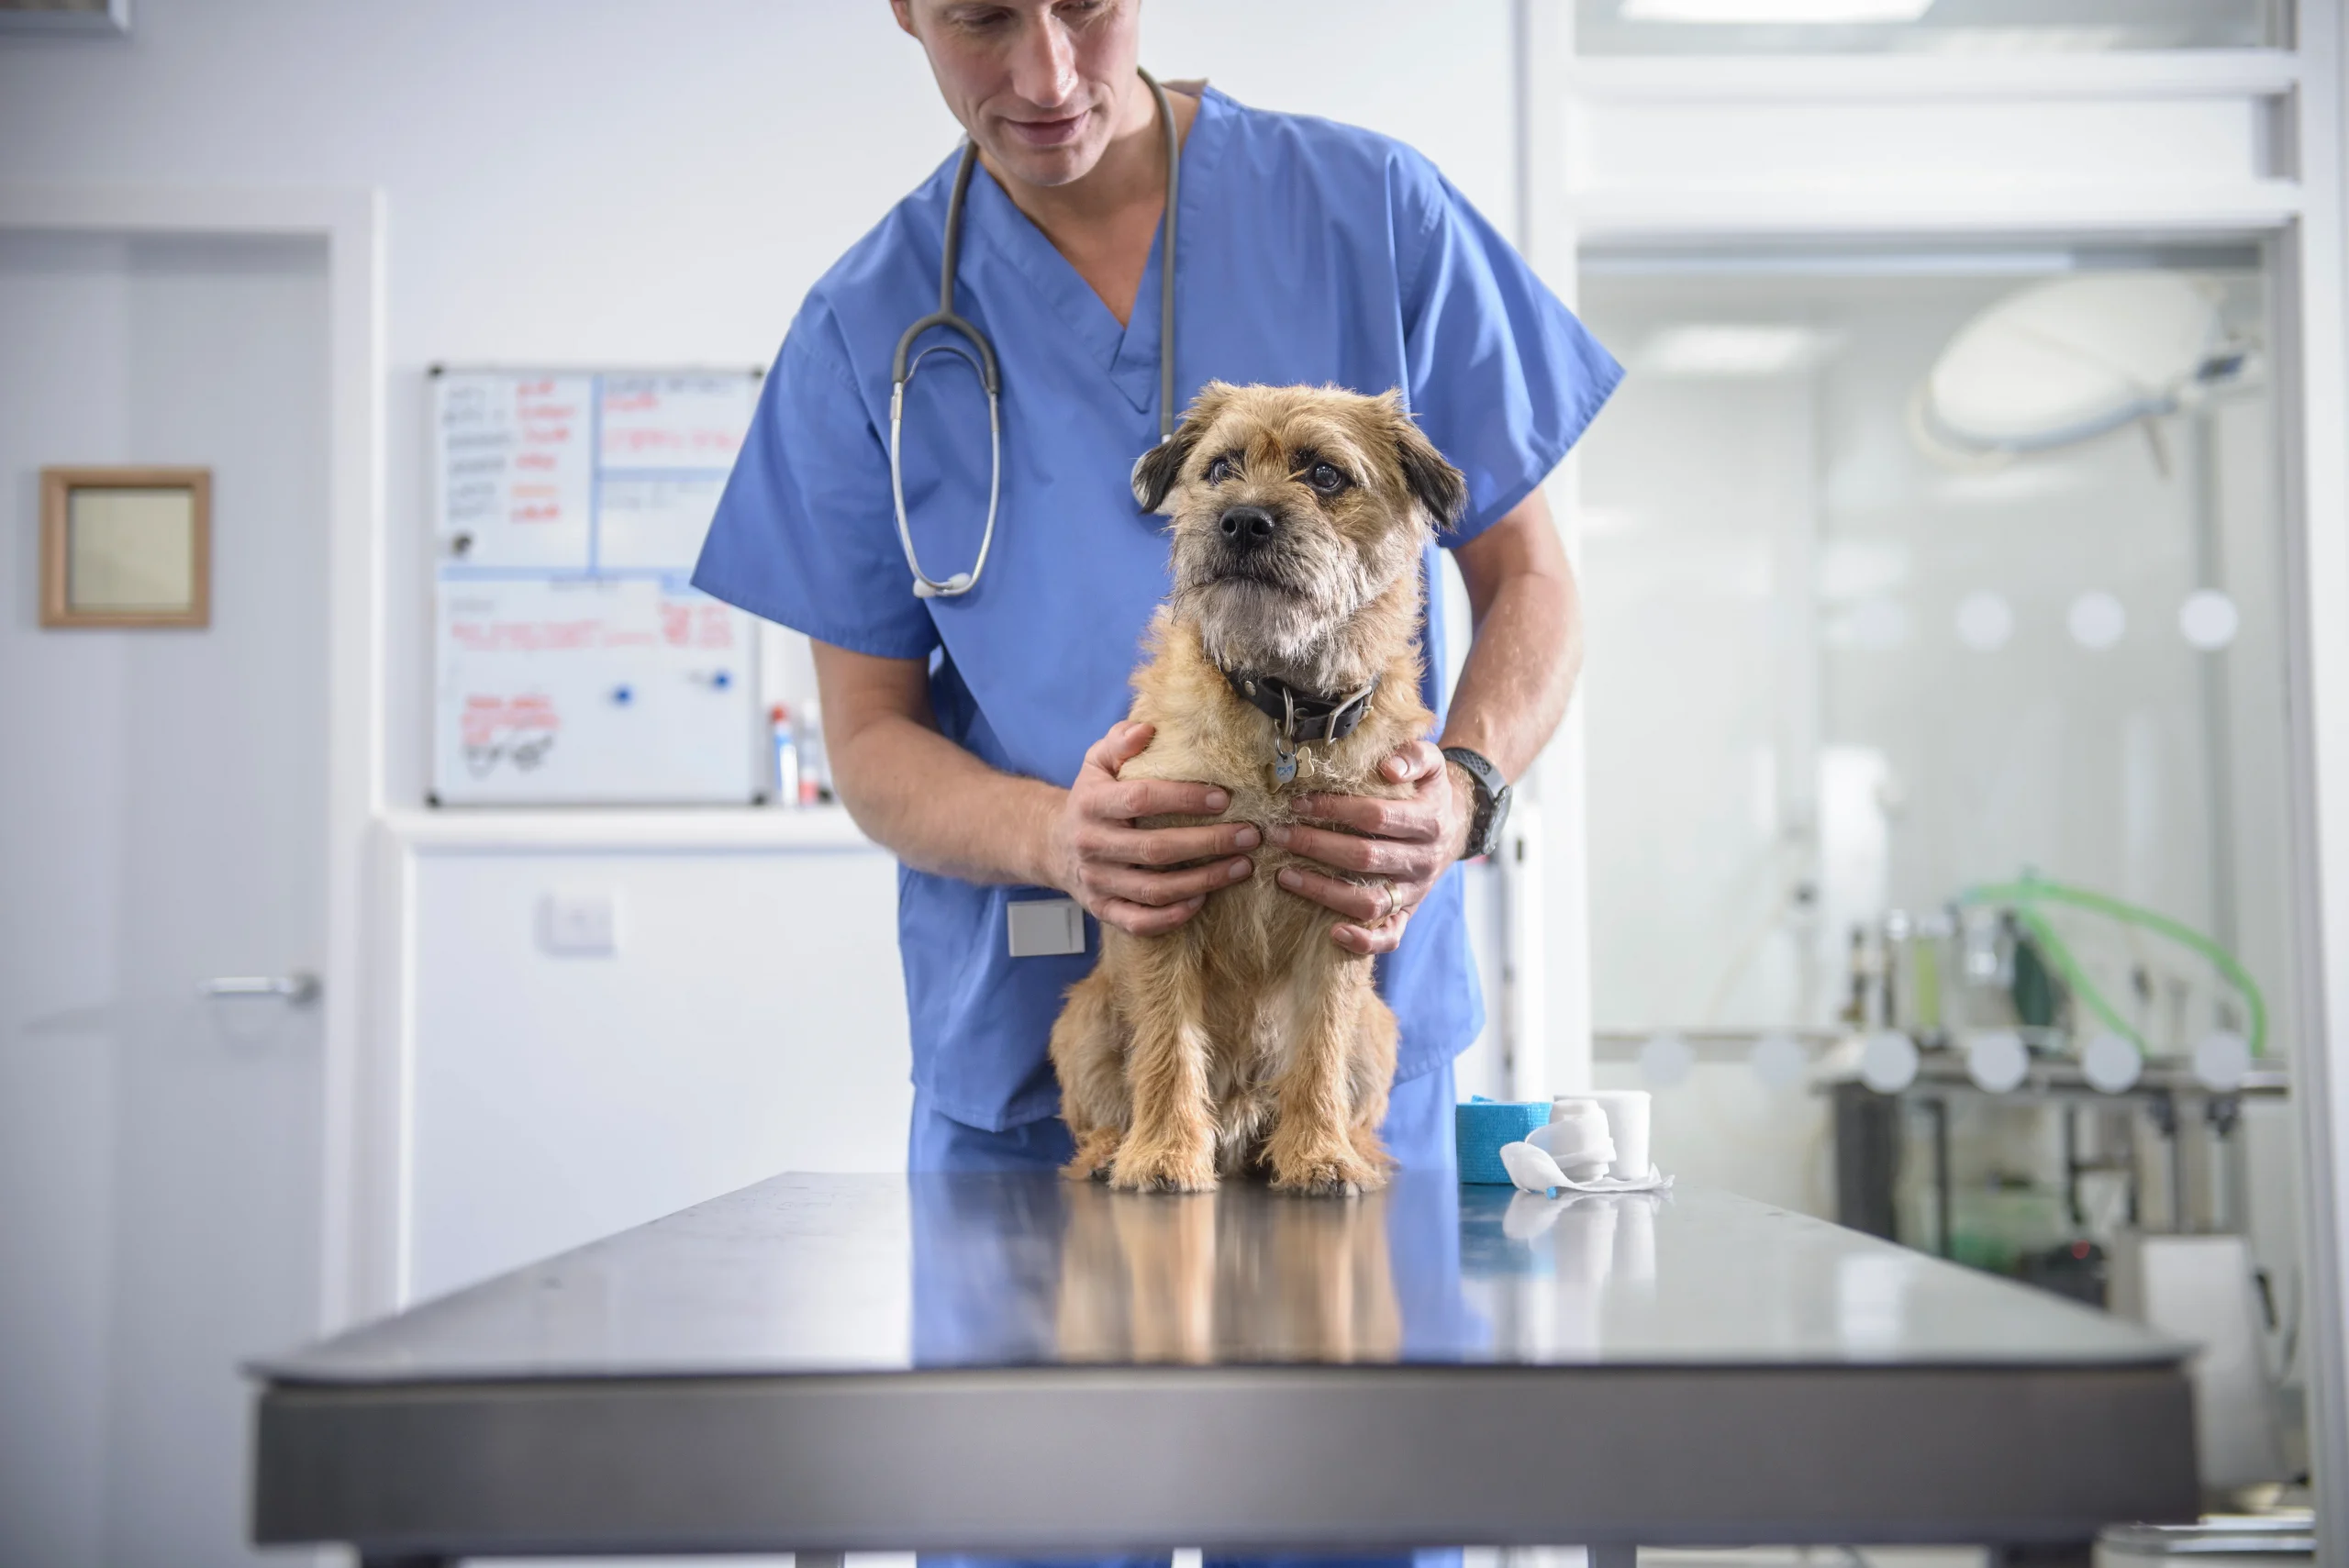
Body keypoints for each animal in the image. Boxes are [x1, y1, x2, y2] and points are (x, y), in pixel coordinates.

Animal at [1052, 384, 1456, 1192]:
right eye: (1221, 468)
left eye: (1325, 474)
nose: (1241, 519)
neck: (1283, 711)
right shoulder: (1164, 894)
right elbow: (1167, 1044)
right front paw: (1164, 1152)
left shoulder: (1344, 908)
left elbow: (1319, 1046)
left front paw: (1319, 1153)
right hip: (1082, 1019)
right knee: (1098, 1109)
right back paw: (1113, 1149)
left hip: (1380, 1031)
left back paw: (1349, 1147)